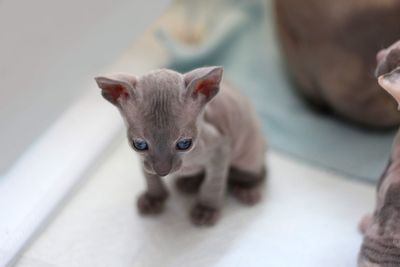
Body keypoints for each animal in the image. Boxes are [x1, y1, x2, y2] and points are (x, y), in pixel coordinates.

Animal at [95, 66, 268, 226]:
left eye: (184, 144)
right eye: (140, 144)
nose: (162, 171)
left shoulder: (221, 148)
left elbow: (213, 184)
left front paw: (206, 209)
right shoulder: (143, 159)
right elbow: (149, 176)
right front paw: (154, 198)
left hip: (248, 154)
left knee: (257, 173)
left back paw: (246, 188)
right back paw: (189, 182)